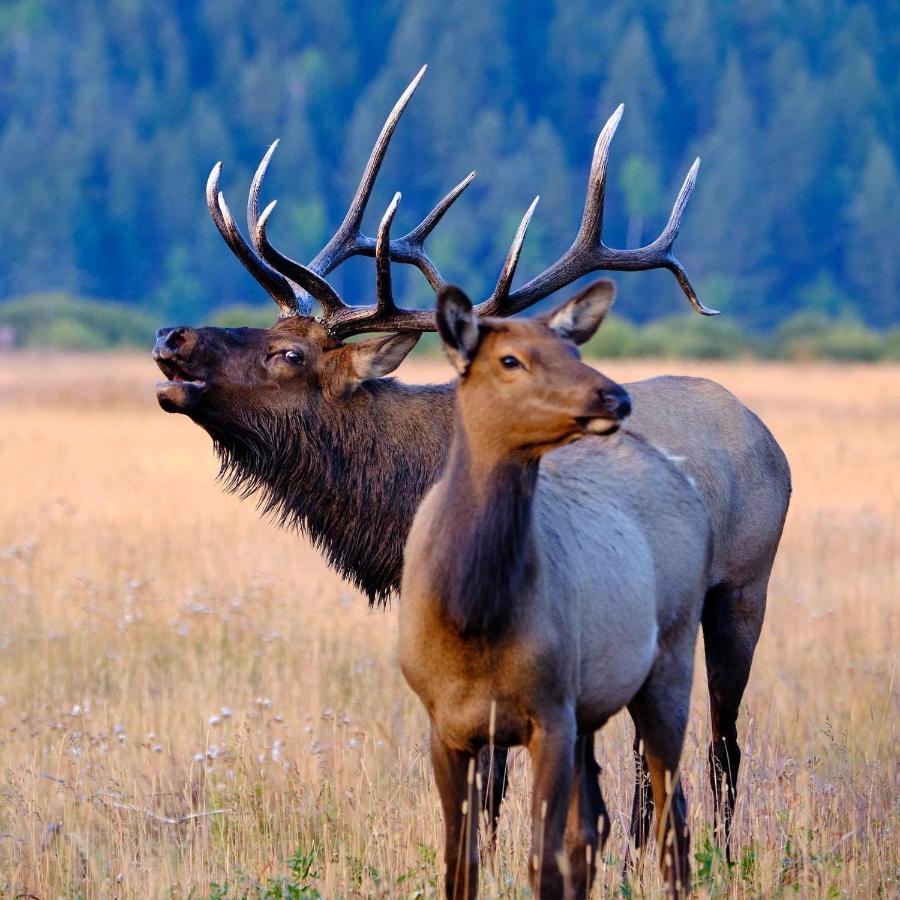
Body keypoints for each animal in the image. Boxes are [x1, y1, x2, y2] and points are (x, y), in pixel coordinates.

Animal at [400, 284, 712, 896]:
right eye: (510, 360)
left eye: (571, 350)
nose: (614, 396)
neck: (472, 618)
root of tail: (681, 473)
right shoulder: (444, 723)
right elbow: (460, 863)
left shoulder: (551, 712)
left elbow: (541, 861)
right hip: (591, 709)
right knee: (593, 829)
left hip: (671, 657)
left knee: (673, 819)